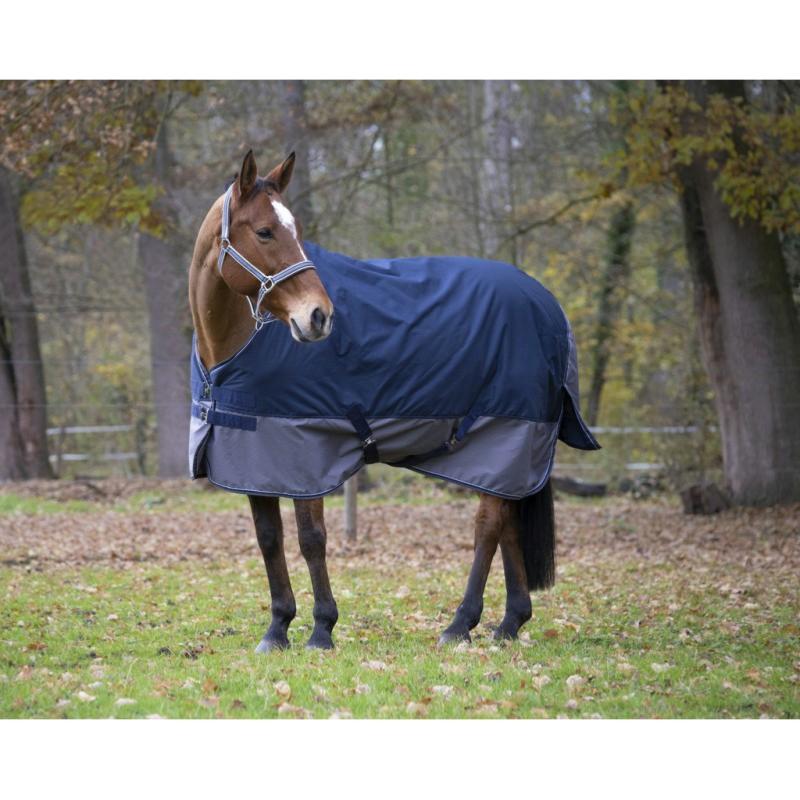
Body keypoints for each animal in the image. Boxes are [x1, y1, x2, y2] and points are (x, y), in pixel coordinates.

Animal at [188, 150, 599, 652]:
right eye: (265, 231)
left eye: (297, 231)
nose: (319, 316)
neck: (237, 347)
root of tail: (548, 305)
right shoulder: (254, 453)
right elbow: (269, 539)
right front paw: (277, 629)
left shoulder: (308, 454)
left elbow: (311, 538)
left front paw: (321, 630)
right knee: (508, 527)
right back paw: (508, 624)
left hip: (506, 436)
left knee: (488, 527)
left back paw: (460, 625)